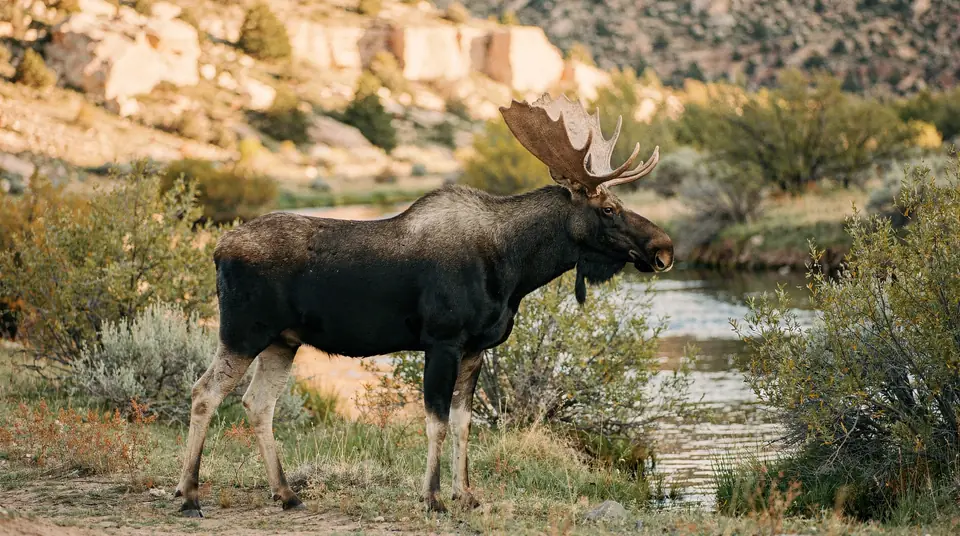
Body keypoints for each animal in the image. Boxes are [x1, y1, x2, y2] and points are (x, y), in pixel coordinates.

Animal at [174, 93, 674, 517]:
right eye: (608, 209)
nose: (664, 248)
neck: (514, 268)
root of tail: (217, 250)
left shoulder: (476, 348)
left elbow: (464, 423)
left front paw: (466, 494)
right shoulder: (442, 340)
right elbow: (436, 421)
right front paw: (432, 498)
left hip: (284, 341)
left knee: (258, 403)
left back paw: (286, 493)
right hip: (243, 331)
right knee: (204, 392)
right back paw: (190, 494)